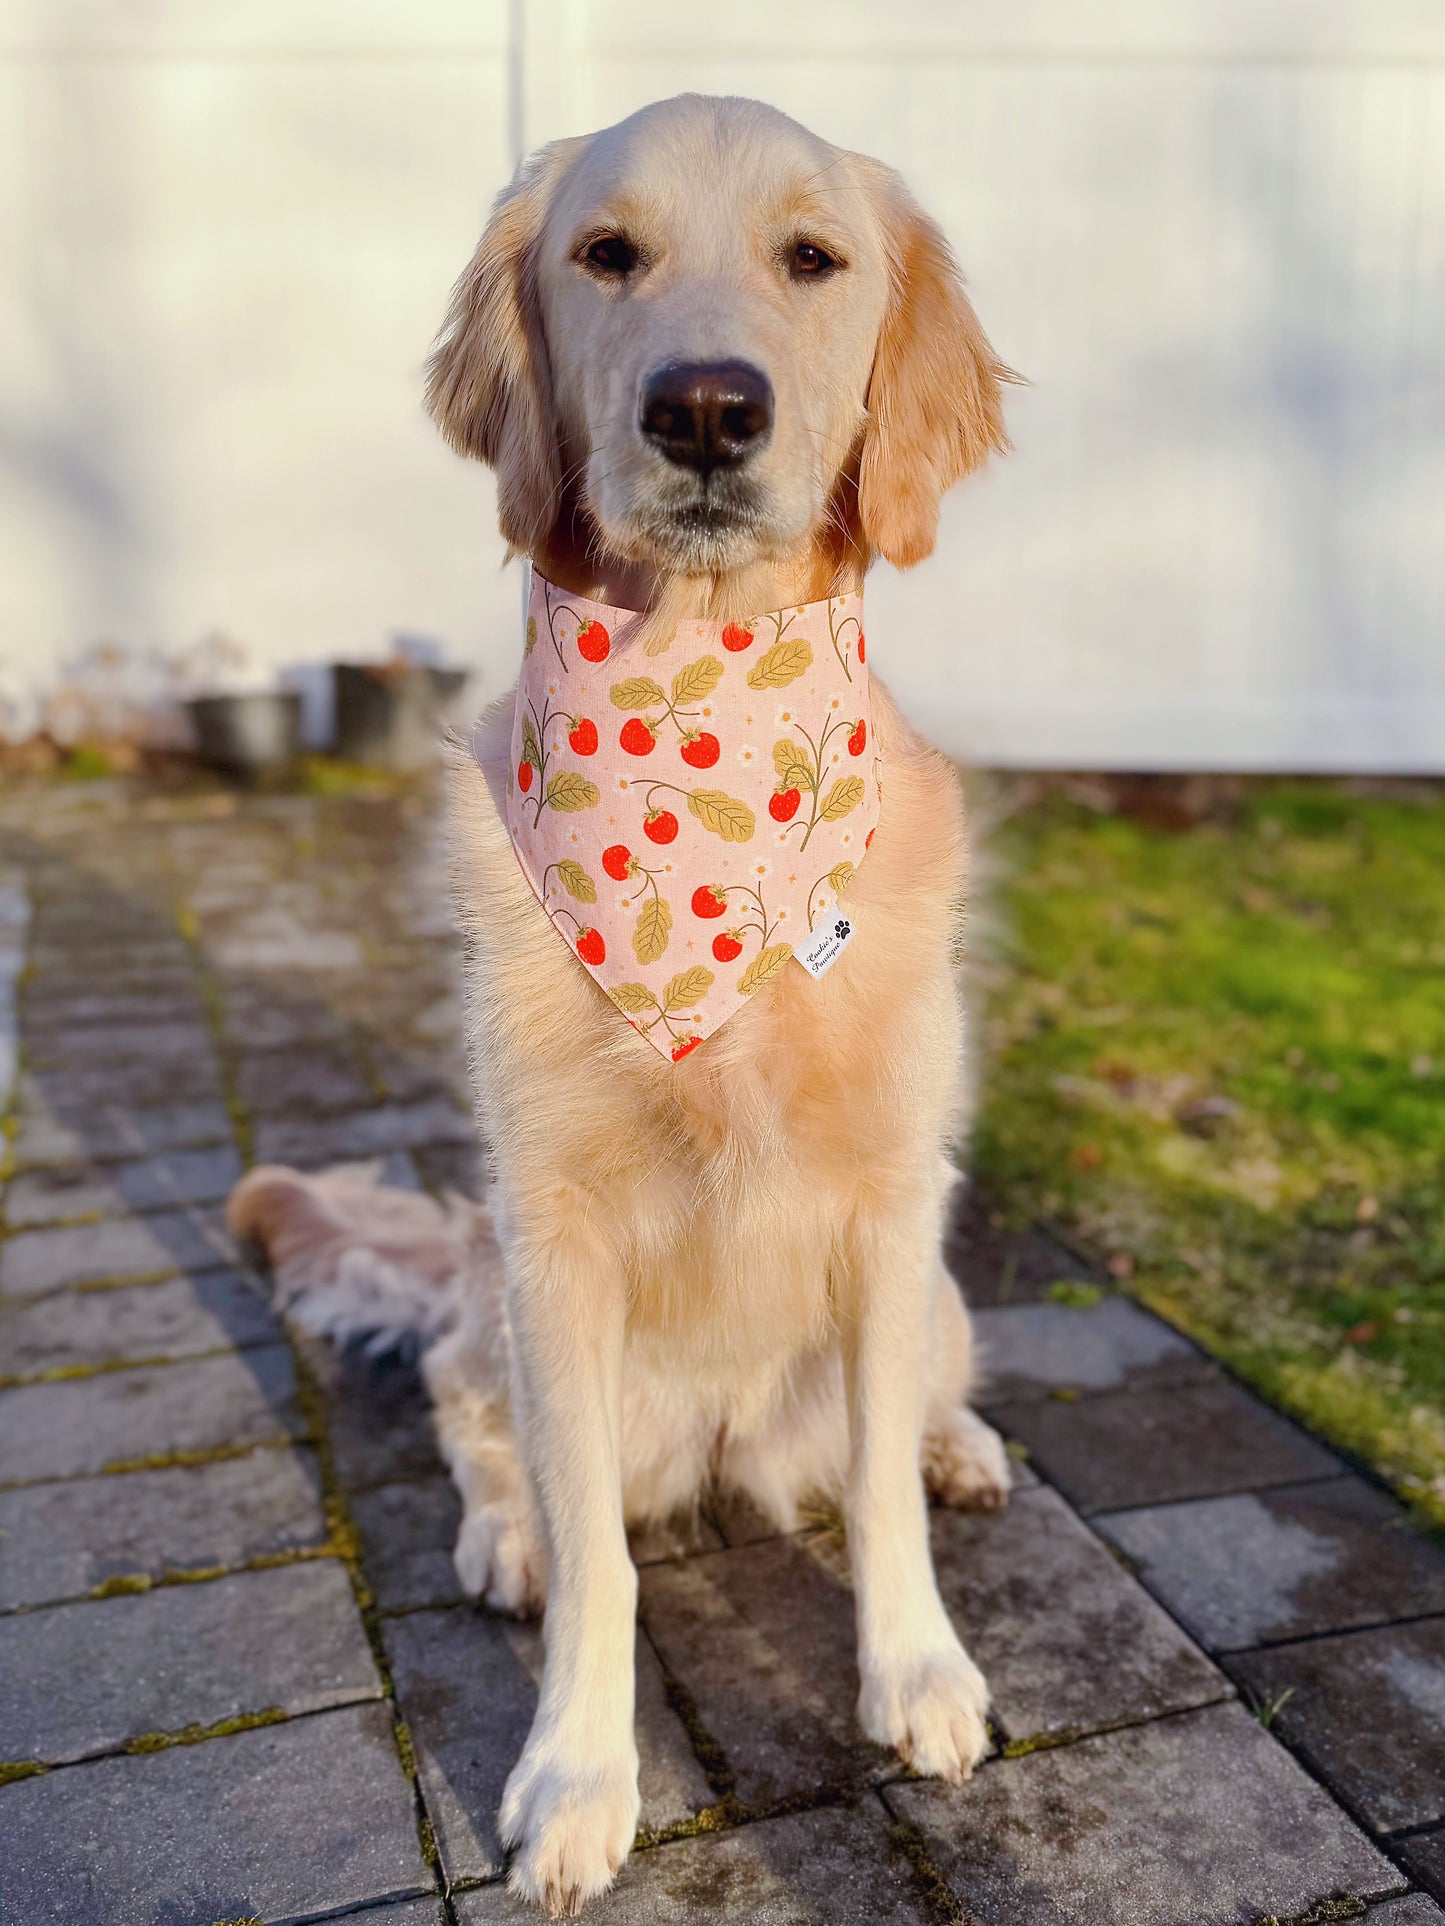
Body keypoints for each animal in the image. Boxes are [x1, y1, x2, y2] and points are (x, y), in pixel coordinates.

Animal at [229, 93, 1017, 1926]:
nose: (708, 407)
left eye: (815, 257)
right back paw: (503, 1535)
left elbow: (879, 1495)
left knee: (915, 1406)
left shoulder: (895, 1206)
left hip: (925, 1296)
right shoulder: (556, 1236)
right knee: (473, 1420)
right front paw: (577, 1779)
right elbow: (605, 1567)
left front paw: (919, 1672)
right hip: (498, 1296)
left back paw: (961, 1444)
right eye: (607, 254)